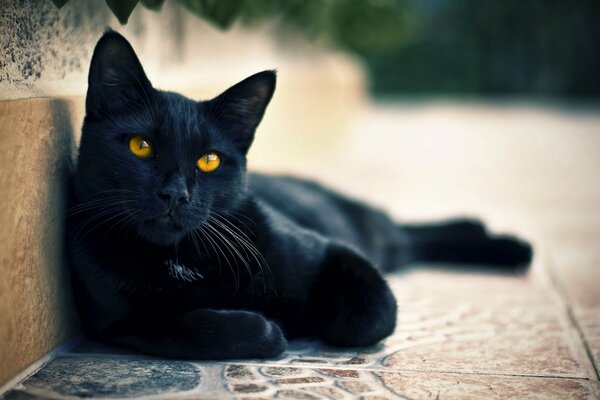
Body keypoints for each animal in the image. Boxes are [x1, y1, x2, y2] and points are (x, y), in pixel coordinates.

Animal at [68, 31, 532, 360]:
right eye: (141, 146)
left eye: (209, 160)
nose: (175, 194)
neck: (181, 257)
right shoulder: (119, 319)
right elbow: (192, 328)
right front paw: (273, 330)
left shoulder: (332, 251)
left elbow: (372, 314)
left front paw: (311, 320)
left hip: (366, 231)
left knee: (401, 233)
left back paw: (507, 244)